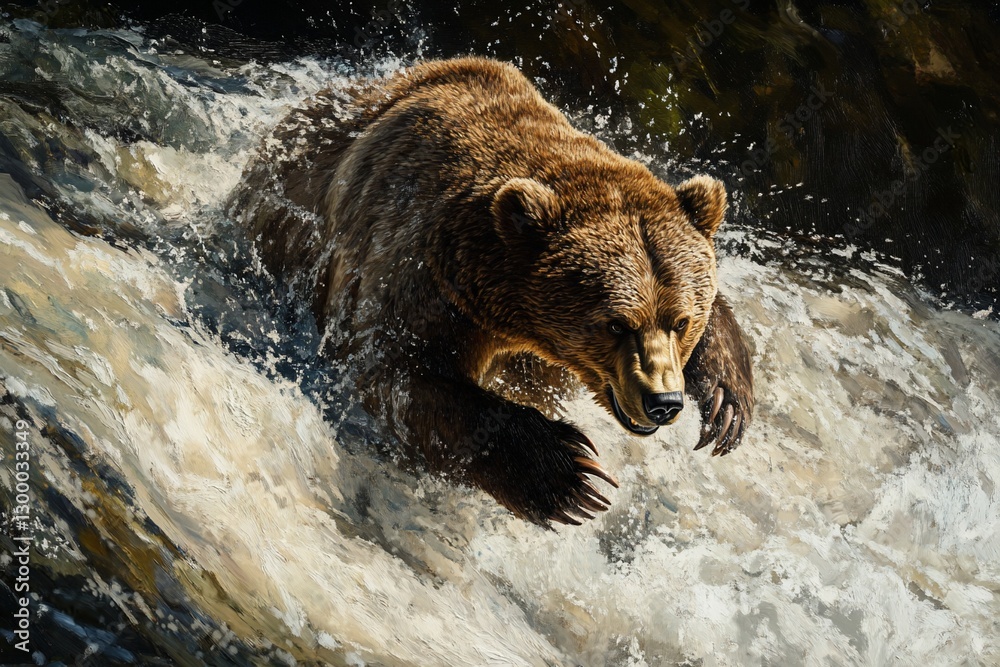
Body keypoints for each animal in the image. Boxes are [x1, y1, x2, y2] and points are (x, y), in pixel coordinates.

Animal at [228, 57, 754, 527]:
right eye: (614, 323)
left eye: (680, 320)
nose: (663, 402)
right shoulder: (422, 278)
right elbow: (396, 375)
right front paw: (569, 474)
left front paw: (726, 403)